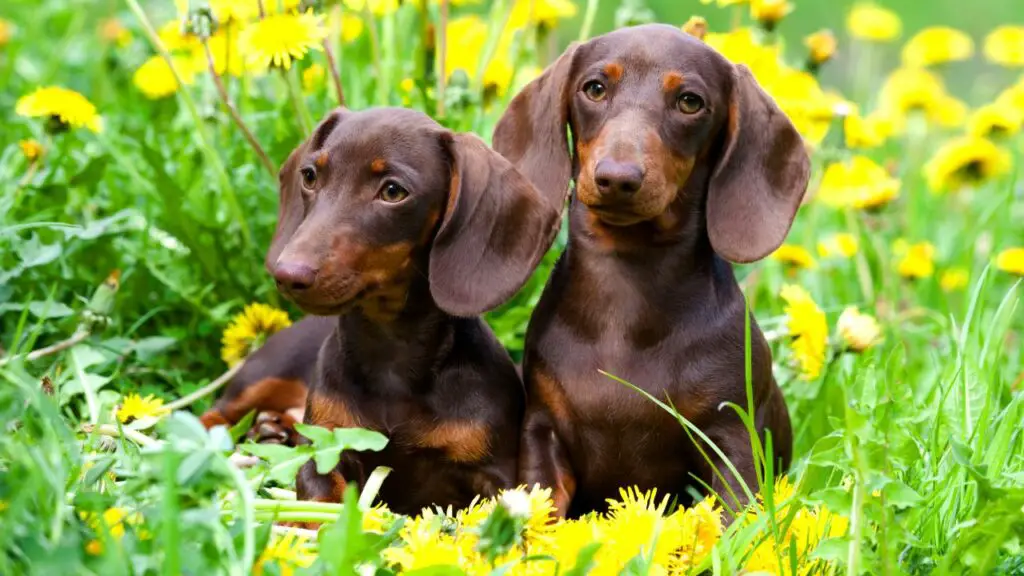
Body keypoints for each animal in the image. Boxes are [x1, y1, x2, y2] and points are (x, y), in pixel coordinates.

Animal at [266, 106, 561, 510]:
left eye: (393, 191)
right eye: (310, 176)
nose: (287, 273)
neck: (391, 357)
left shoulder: (494, 473)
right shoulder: (325, 449)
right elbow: (318, 499)